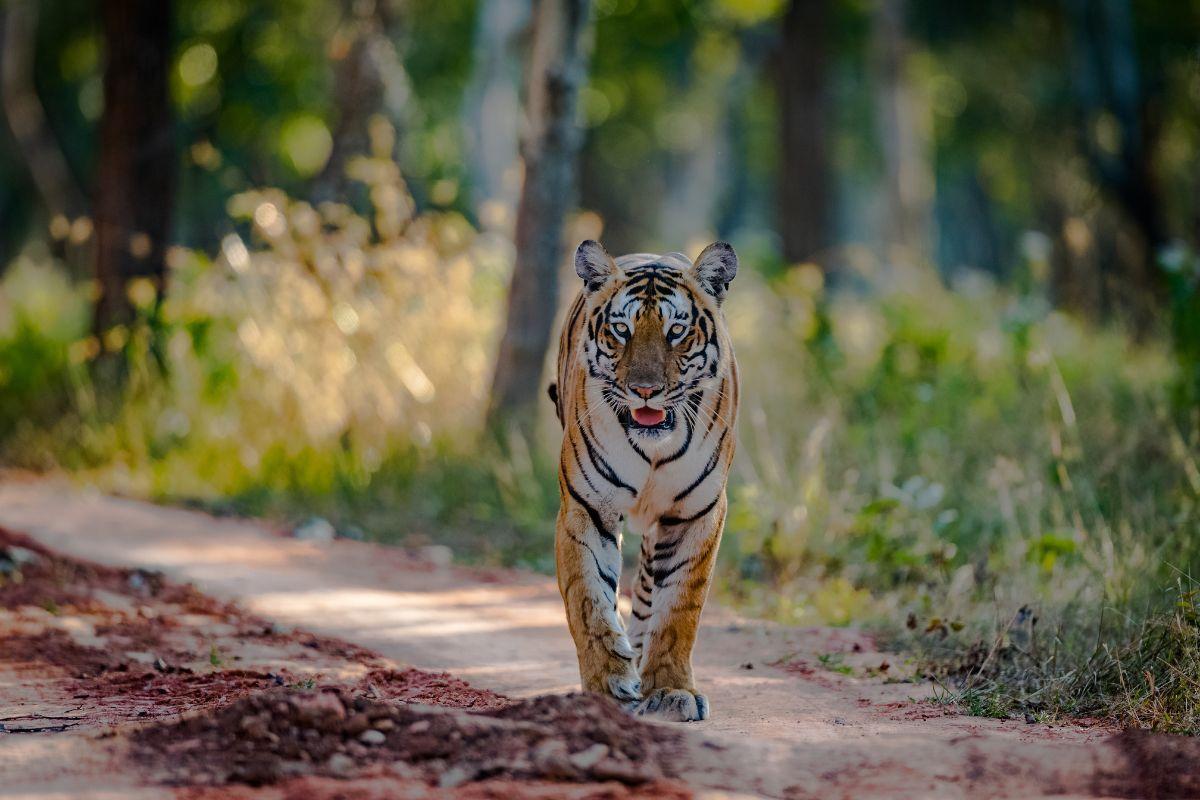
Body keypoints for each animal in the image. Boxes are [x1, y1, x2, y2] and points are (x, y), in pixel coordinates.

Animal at [549, 241, 734, 724]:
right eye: (621, 330)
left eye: (676, 331)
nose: (645, 390)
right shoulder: (586, 507)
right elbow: (589, 601)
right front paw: (608, 686)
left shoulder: (697, 513)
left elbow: (678, 610)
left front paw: (671, 689)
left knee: (650, 589)